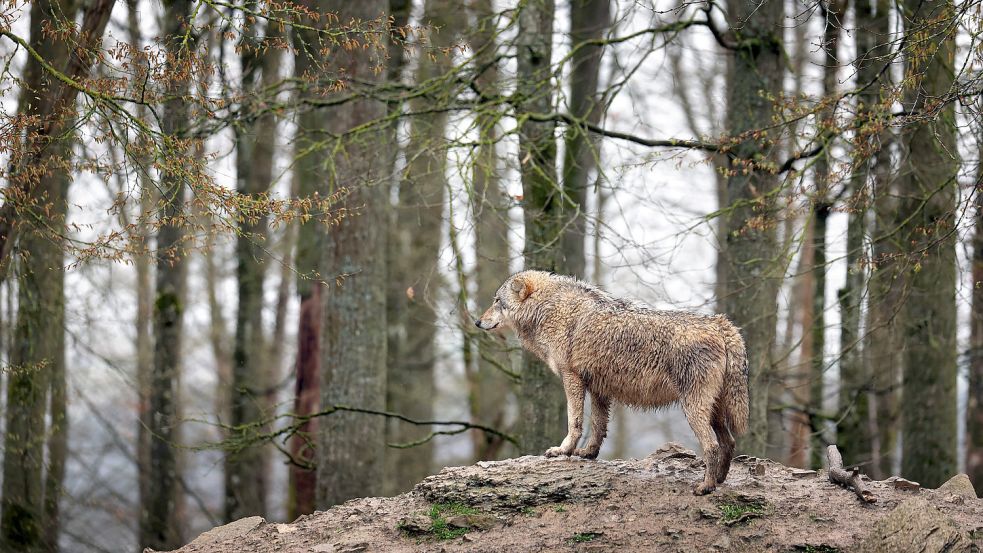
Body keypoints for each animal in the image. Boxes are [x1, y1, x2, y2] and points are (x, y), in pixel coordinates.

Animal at [474, 270, 744, 494]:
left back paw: (706, 487)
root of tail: (719, 323)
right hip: (714, 409)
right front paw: (588, 453)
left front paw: (563, 450)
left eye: (497, 301)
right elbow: (598, 426)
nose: (477, 322)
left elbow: (575, 422)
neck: (551, 308)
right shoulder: (598, 388)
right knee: (728, 441)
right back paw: (719, 480)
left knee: (712, 446)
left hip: (693, 408)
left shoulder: (572, 379)